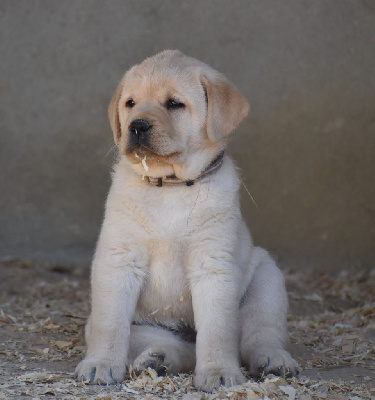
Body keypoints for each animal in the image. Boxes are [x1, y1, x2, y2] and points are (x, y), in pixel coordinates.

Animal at [75, 50, 302, 390]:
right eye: (130, 103)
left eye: (174, 104)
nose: (136, 126)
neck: (172, 187)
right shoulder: (119, 260)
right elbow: (110, 323)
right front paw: (100, 364)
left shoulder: (212, 265)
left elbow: (217, 330)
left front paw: (218, 371)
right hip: (143, 327)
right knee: (180, 349)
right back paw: (158, 361)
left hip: (267, 277)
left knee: (257, 336)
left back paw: (274, 360)